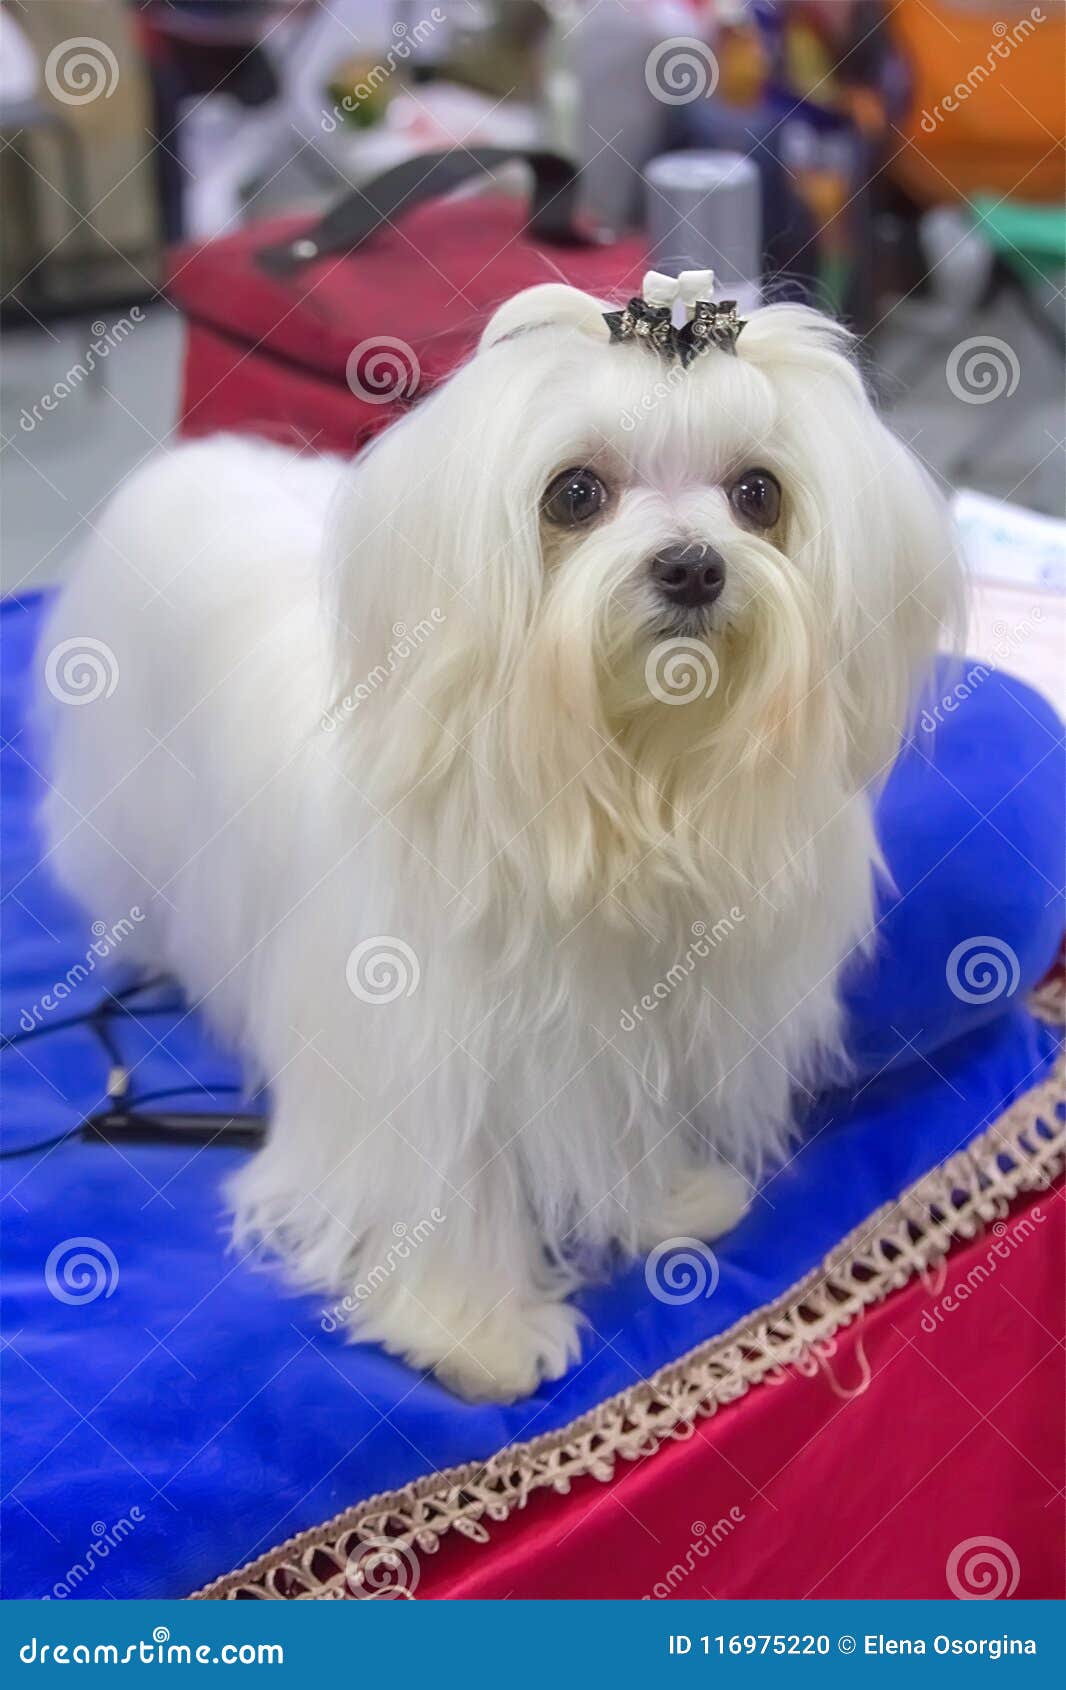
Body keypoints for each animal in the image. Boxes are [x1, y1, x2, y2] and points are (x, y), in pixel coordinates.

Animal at [39, 277, 959, 1406]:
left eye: (756, 493)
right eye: (574, 494)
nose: (693, 567)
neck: (619, 785)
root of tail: (188, 462)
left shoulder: (644, 1016)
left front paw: (666, 1201)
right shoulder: (422, 1044)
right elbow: (447, 1183)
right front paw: (471, 1329)